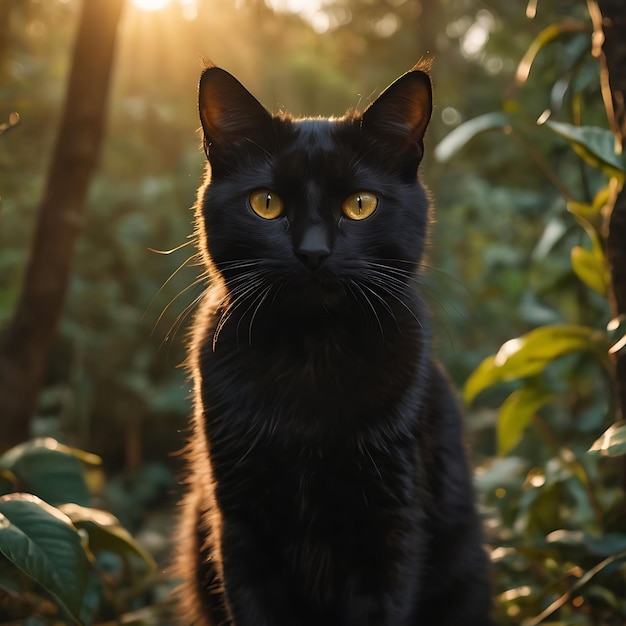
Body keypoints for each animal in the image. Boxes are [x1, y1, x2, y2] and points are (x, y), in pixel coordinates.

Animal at [176, 64, 492, 624]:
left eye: (360, 205)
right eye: (266, 204)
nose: (313, 252)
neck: (312, 353)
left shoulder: (391, 523)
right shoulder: (238, 526)